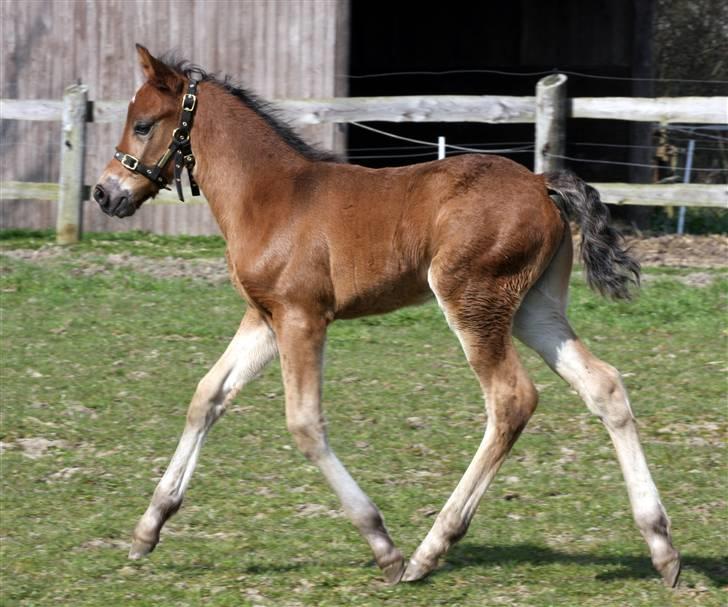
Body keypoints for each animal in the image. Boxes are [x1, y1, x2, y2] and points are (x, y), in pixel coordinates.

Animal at [92, 45, 684, 588]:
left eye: (143, 124)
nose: (104, 193)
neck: (271, 195)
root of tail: (542, 183)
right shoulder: (263, 318)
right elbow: (207, 396)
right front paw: (148, 528)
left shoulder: (302, 317)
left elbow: (304, 423)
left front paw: (383, 546)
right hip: (533, 309)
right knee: (604, 385)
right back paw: (662, 548)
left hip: (472, 300)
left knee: (511, 400)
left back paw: (429, 550)